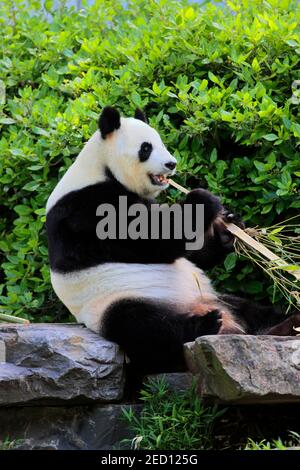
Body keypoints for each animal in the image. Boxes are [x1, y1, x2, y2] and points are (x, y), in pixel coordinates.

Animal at [46, 106, 300, 374]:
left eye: (161, 142)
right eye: (146, 148)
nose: (172, 164)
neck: (100, 168)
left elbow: (190, 252)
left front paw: (228, 227)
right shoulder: (85, 209)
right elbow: (151, 238)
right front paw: (202, 199)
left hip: (213, 295)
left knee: (253, 310)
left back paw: (287, 324)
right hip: (111, 303)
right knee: (145, 327)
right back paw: (206, 324)